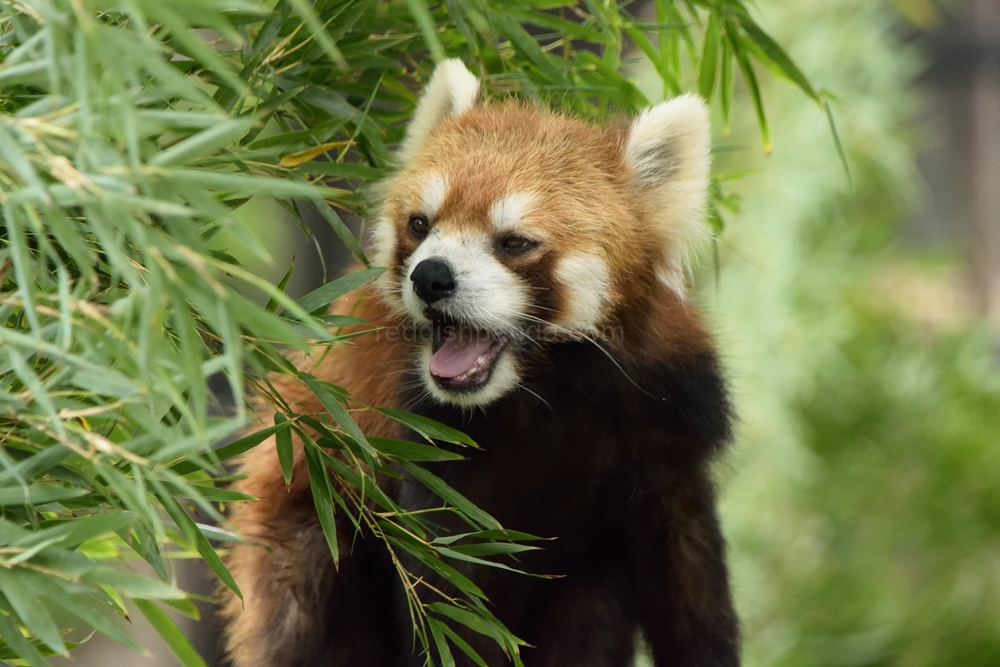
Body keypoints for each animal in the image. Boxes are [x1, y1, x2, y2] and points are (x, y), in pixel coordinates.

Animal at [223, 60, 740, 664]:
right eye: (420, 224)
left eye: (513, 242)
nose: (430, 276)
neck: (544, 390)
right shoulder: (433, 467)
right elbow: (451, 615)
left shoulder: (665, 439)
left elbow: (693, 596)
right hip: (310, 517)